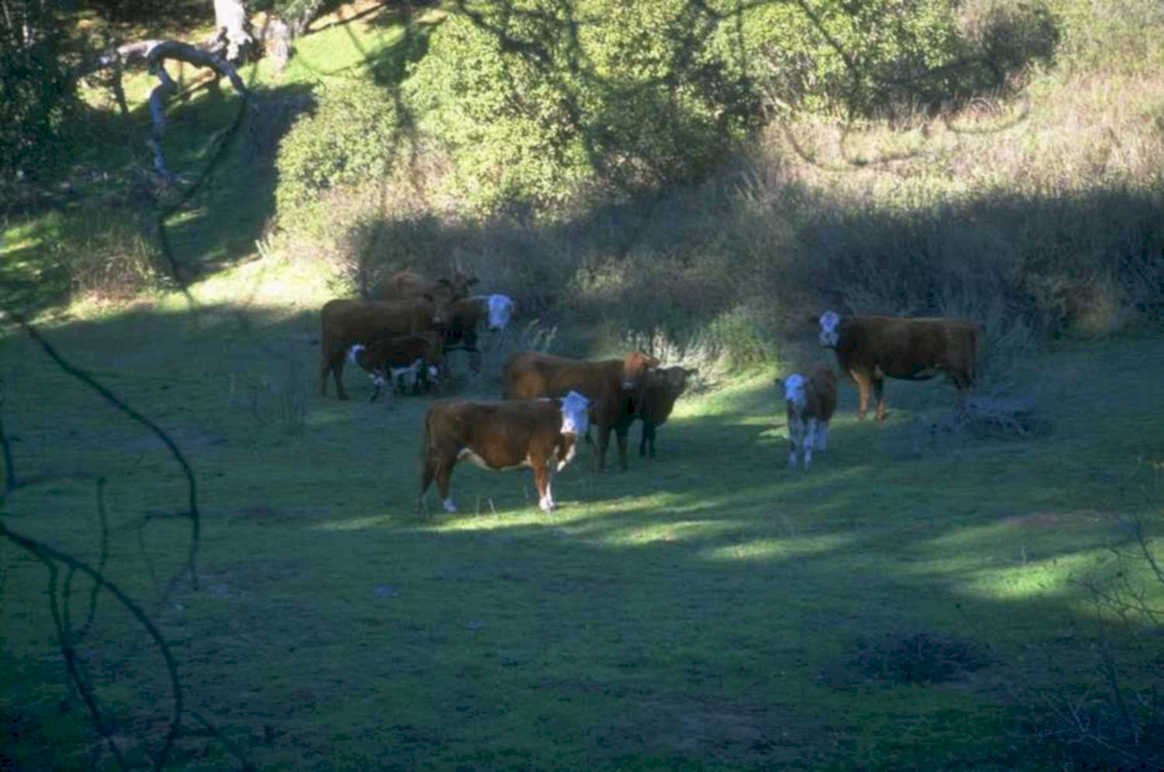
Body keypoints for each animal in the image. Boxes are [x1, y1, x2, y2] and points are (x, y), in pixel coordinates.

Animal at [419, 391, 590, 514]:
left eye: (583, 411)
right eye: (564, 411)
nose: (570, 427)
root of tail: (442, 403)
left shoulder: (552, 460)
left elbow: (548, 481)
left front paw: (552, 503)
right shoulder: (540, 457)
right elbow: (541, 480)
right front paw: (545, 506)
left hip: (435, 454)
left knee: (427, 474)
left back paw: (424, 503)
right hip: (447, 454)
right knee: (441, 477)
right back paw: (449, 506)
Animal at [501, 351, 659, 472]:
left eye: (643, 366)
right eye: (625, 368)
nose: (628, 385)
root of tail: (522, 355)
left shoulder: (623, 422)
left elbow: (623, 444)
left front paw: (624, 467)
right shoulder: (603, 418)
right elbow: (603, 443)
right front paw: (600, 469)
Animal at [818, 311, 978, 422]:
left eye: (838, 327)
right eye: (821, 325)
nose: (825, 338)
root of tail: (965, 323)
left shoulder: (863, 371)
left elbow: (864, 394)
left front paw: (861, 417)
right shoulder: (877, 374)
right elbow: (879, 394)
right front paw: (879, 416)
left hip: (960, 369)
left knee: (966, 389)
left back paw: (966, 413)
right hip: (957, 371)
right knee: (963, 389)